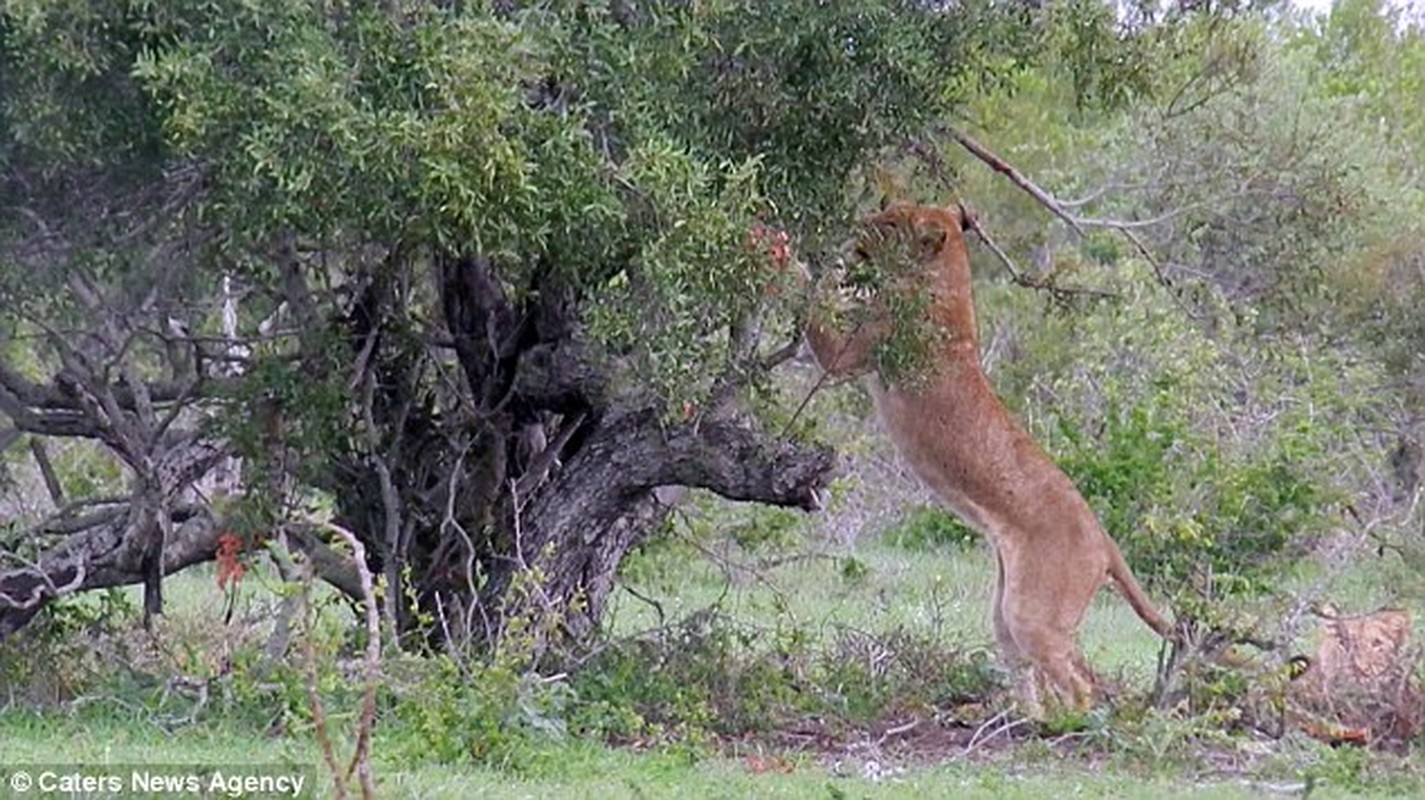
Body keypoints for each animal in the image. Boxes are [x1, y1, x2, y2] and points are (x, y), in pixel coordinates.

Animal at [792, 202, 1168, 707]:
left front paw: (785, 255)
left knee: (1081, 681)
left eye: (888, 223)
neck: (947, 283)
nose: (859, 224)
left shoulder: (853, 353)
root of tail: (1103, 538)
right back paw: (1028, 716)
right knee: (1034, 666)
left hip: (1033, 612)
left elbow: (815, 305)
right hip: (1008, 609)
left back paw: (1070, 719)